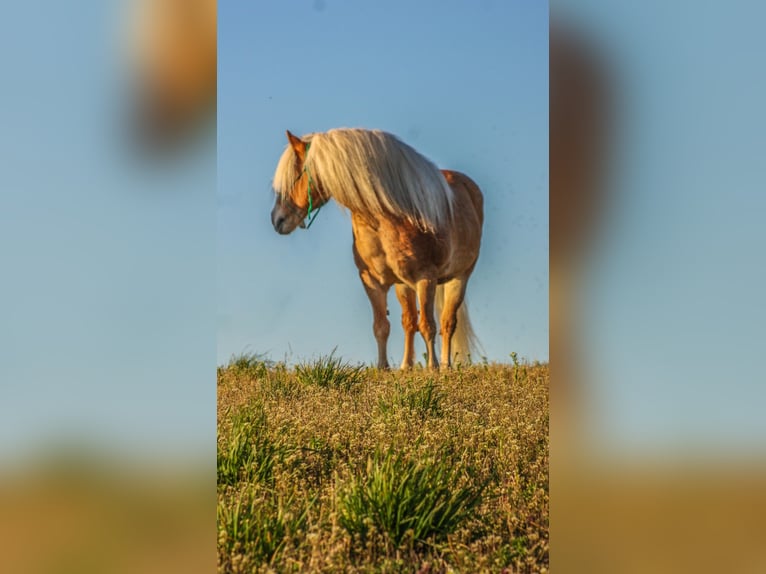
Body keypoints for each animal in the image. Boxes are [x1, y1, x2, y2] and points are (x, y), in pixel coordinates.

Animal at [272, 128, 486, 372]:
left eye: (294, 177)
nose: (277, 220)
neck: (385, 218)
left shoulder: (426, 278)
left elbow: (428, 325)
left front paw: (431, 368)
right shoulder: (372, 281)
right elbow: (382, 326)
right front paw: (383, 367)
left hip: (458, 278)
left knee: (446, 322)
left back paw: (444, 365)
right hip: (404, 286)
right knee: (409, 321)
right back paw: (406, 366)